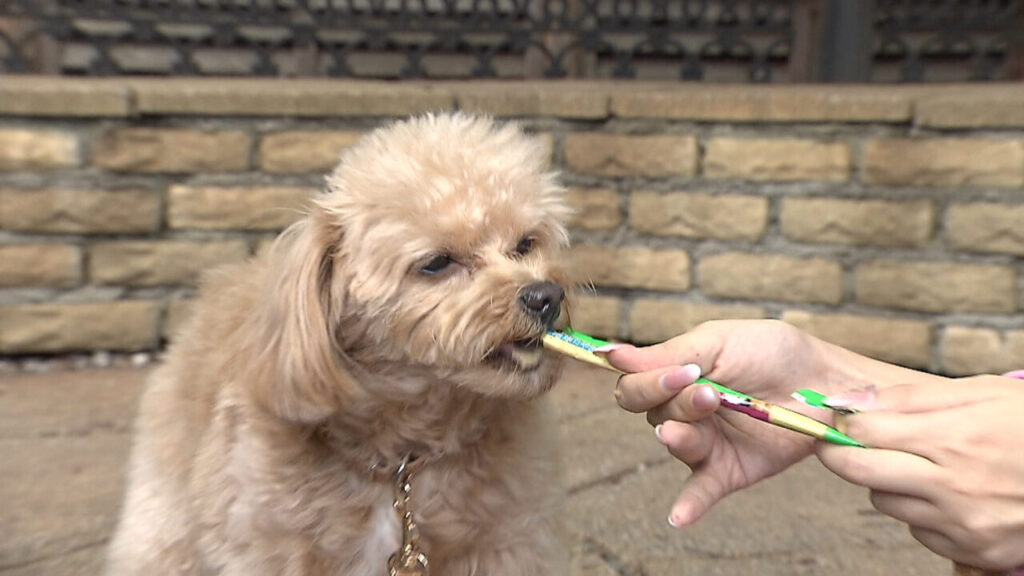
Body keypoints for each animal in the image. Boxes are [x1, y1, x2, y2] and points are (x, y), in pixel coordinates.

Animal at [107, 113, 573, 573]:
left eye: (526, 244)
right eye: (437, 262)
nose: (547, 296)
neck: (402, 462)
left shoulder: (508, 543)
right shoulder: (266, 548)